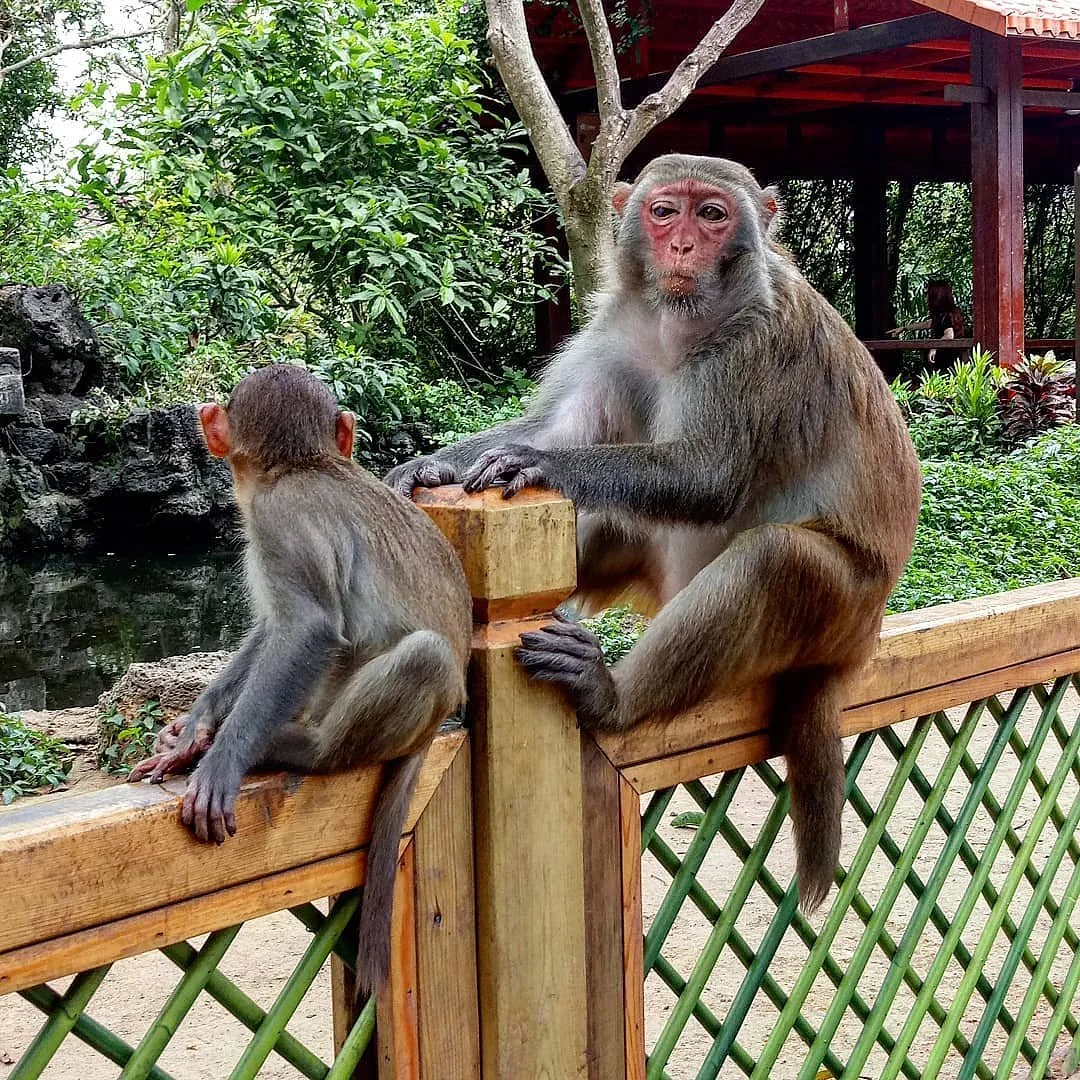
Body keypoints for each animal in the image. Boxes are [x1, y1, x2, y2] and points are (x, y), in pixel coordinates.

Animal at [129, 364, 472, 991]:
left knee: (426, 654)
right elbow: (273, 629)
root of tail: (430, 728)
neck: (303, 466)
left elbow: (306, 628)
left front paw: (221, 757)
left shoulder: (277, 520)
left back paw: (304, 749)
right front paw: (193, 731)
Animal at [386, 154, 921, 912]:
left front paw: (541, 466)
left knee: (775, 558)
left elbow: (708, 475)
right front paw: (431, 466)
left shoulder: (757, 345)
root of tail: (862, 641)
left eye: (713, 214)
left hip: (840, 610)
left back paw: (611, 699)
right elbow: (564, 427)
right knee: (613, 518)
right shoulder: (615, 338)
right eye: (665, 211)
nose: (683, 247)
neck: (679, 326)